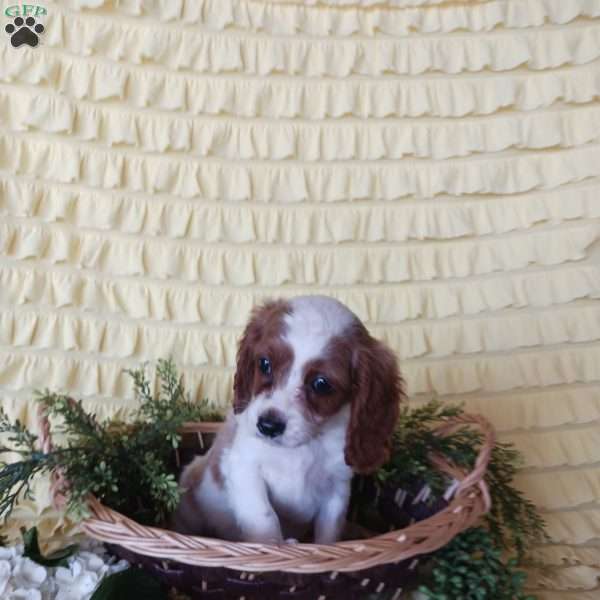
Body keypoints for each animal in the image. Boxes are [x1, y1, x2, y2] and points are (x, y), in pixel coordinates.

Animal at [172, 296, 404, 544]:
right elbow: (265, 517)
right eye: (264, 364)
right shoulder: (244, 466)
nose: (268, 426)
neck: (303, 446)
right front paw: (274, 546)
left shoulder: (337, 489)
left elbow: (329, 533)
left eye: (321, 384)